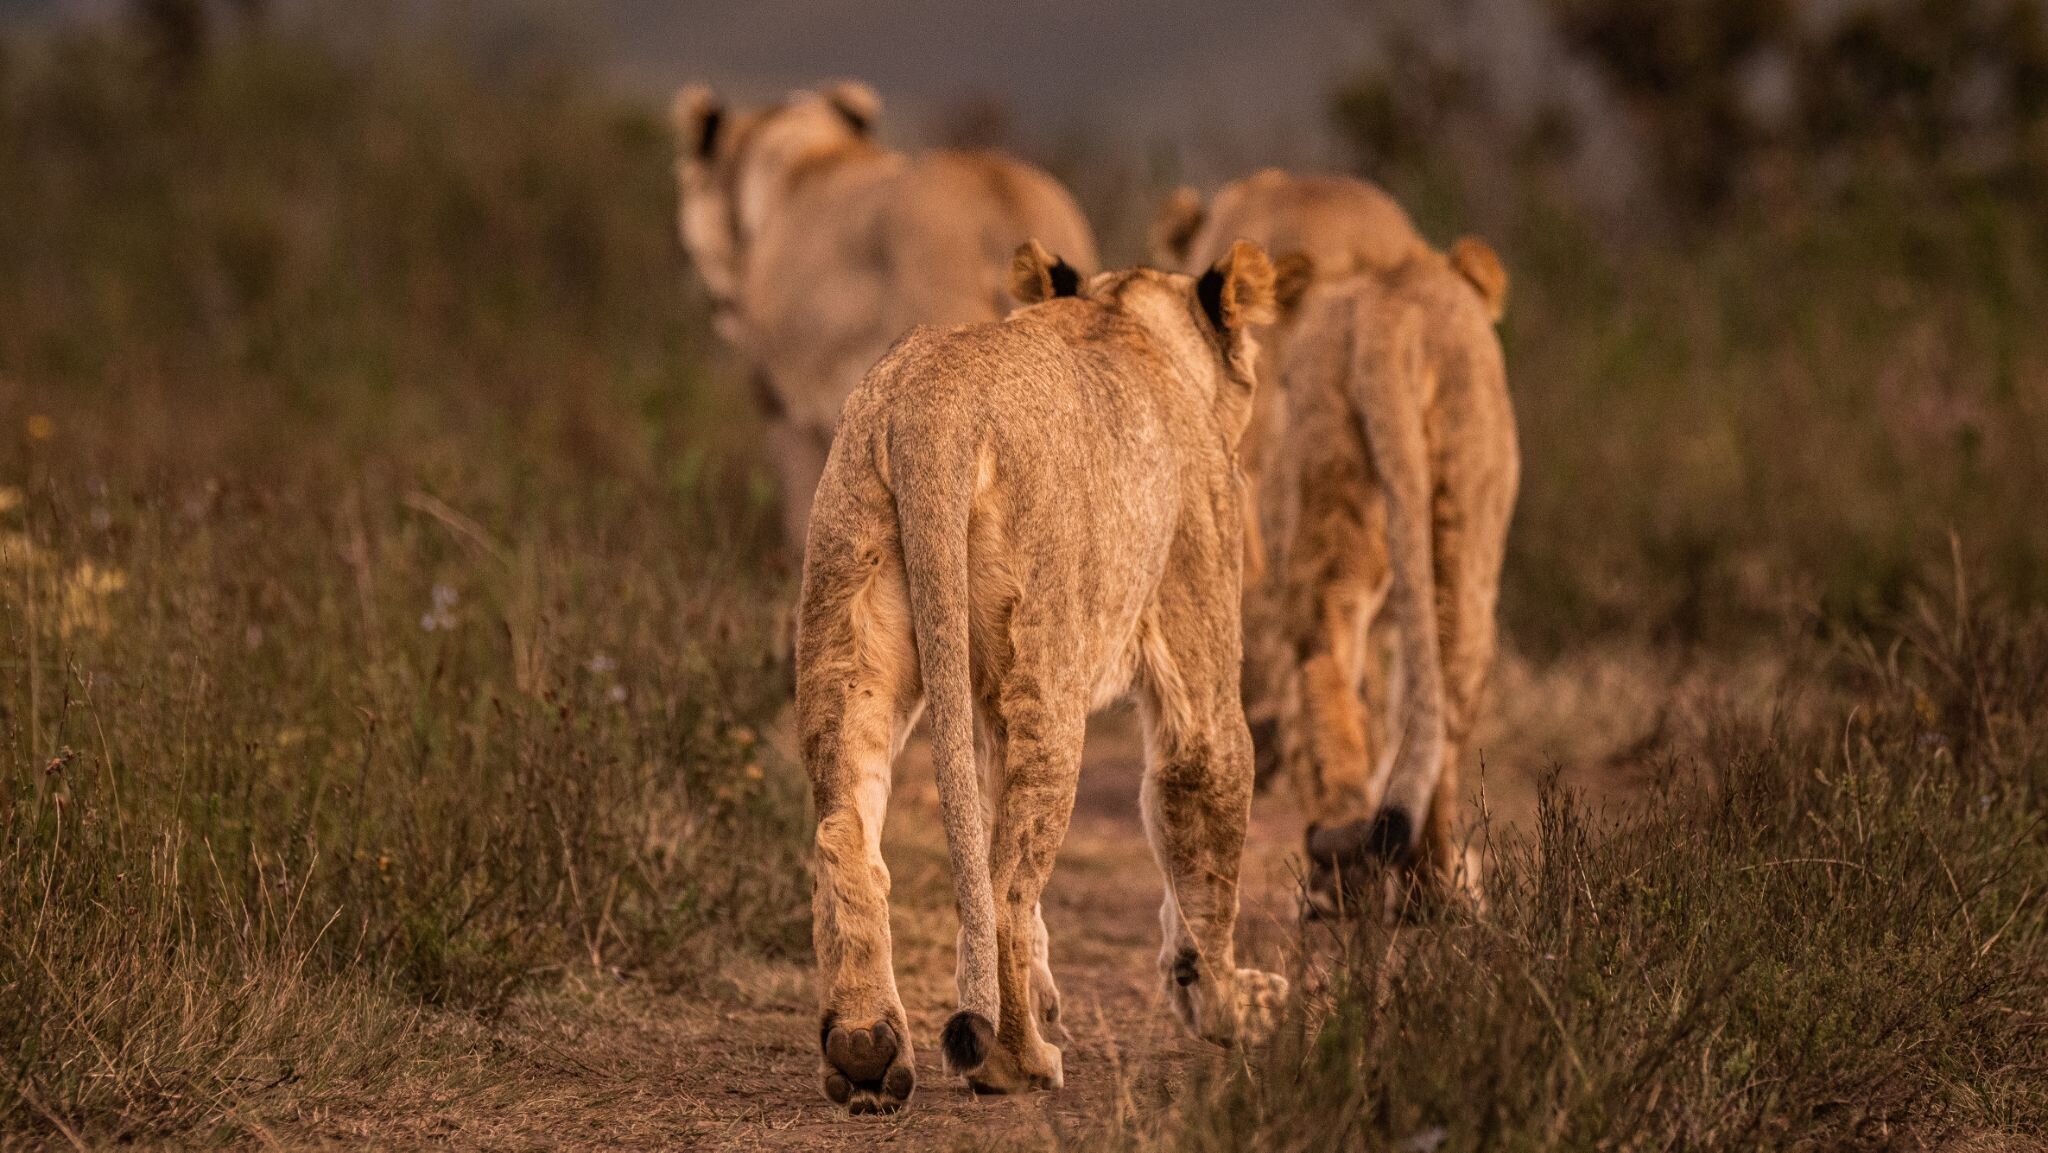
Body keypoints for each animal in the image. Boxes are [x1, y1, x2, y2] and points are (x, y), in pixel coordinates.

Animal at [794, 239, 1286, 1114]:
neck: (1129, 320)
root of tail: (934, 403)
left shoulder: (984, 705)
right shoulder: (1196, 652)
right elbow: (1207, 846)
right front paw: (1232, 1004)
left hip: (849, 628)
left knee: (847, 834)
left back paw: (866, 1054)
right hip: (1048, 676)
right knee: (1006, 886)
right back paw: (1017, 1063)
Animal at [1163, 174, 1515, 913]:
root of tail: (1393, 313)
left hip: (1324, 499)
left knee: (1326, 656)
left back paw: (1343, 874)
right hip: (1466, 512)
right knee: (1447, 678)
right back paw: (1434, 884)